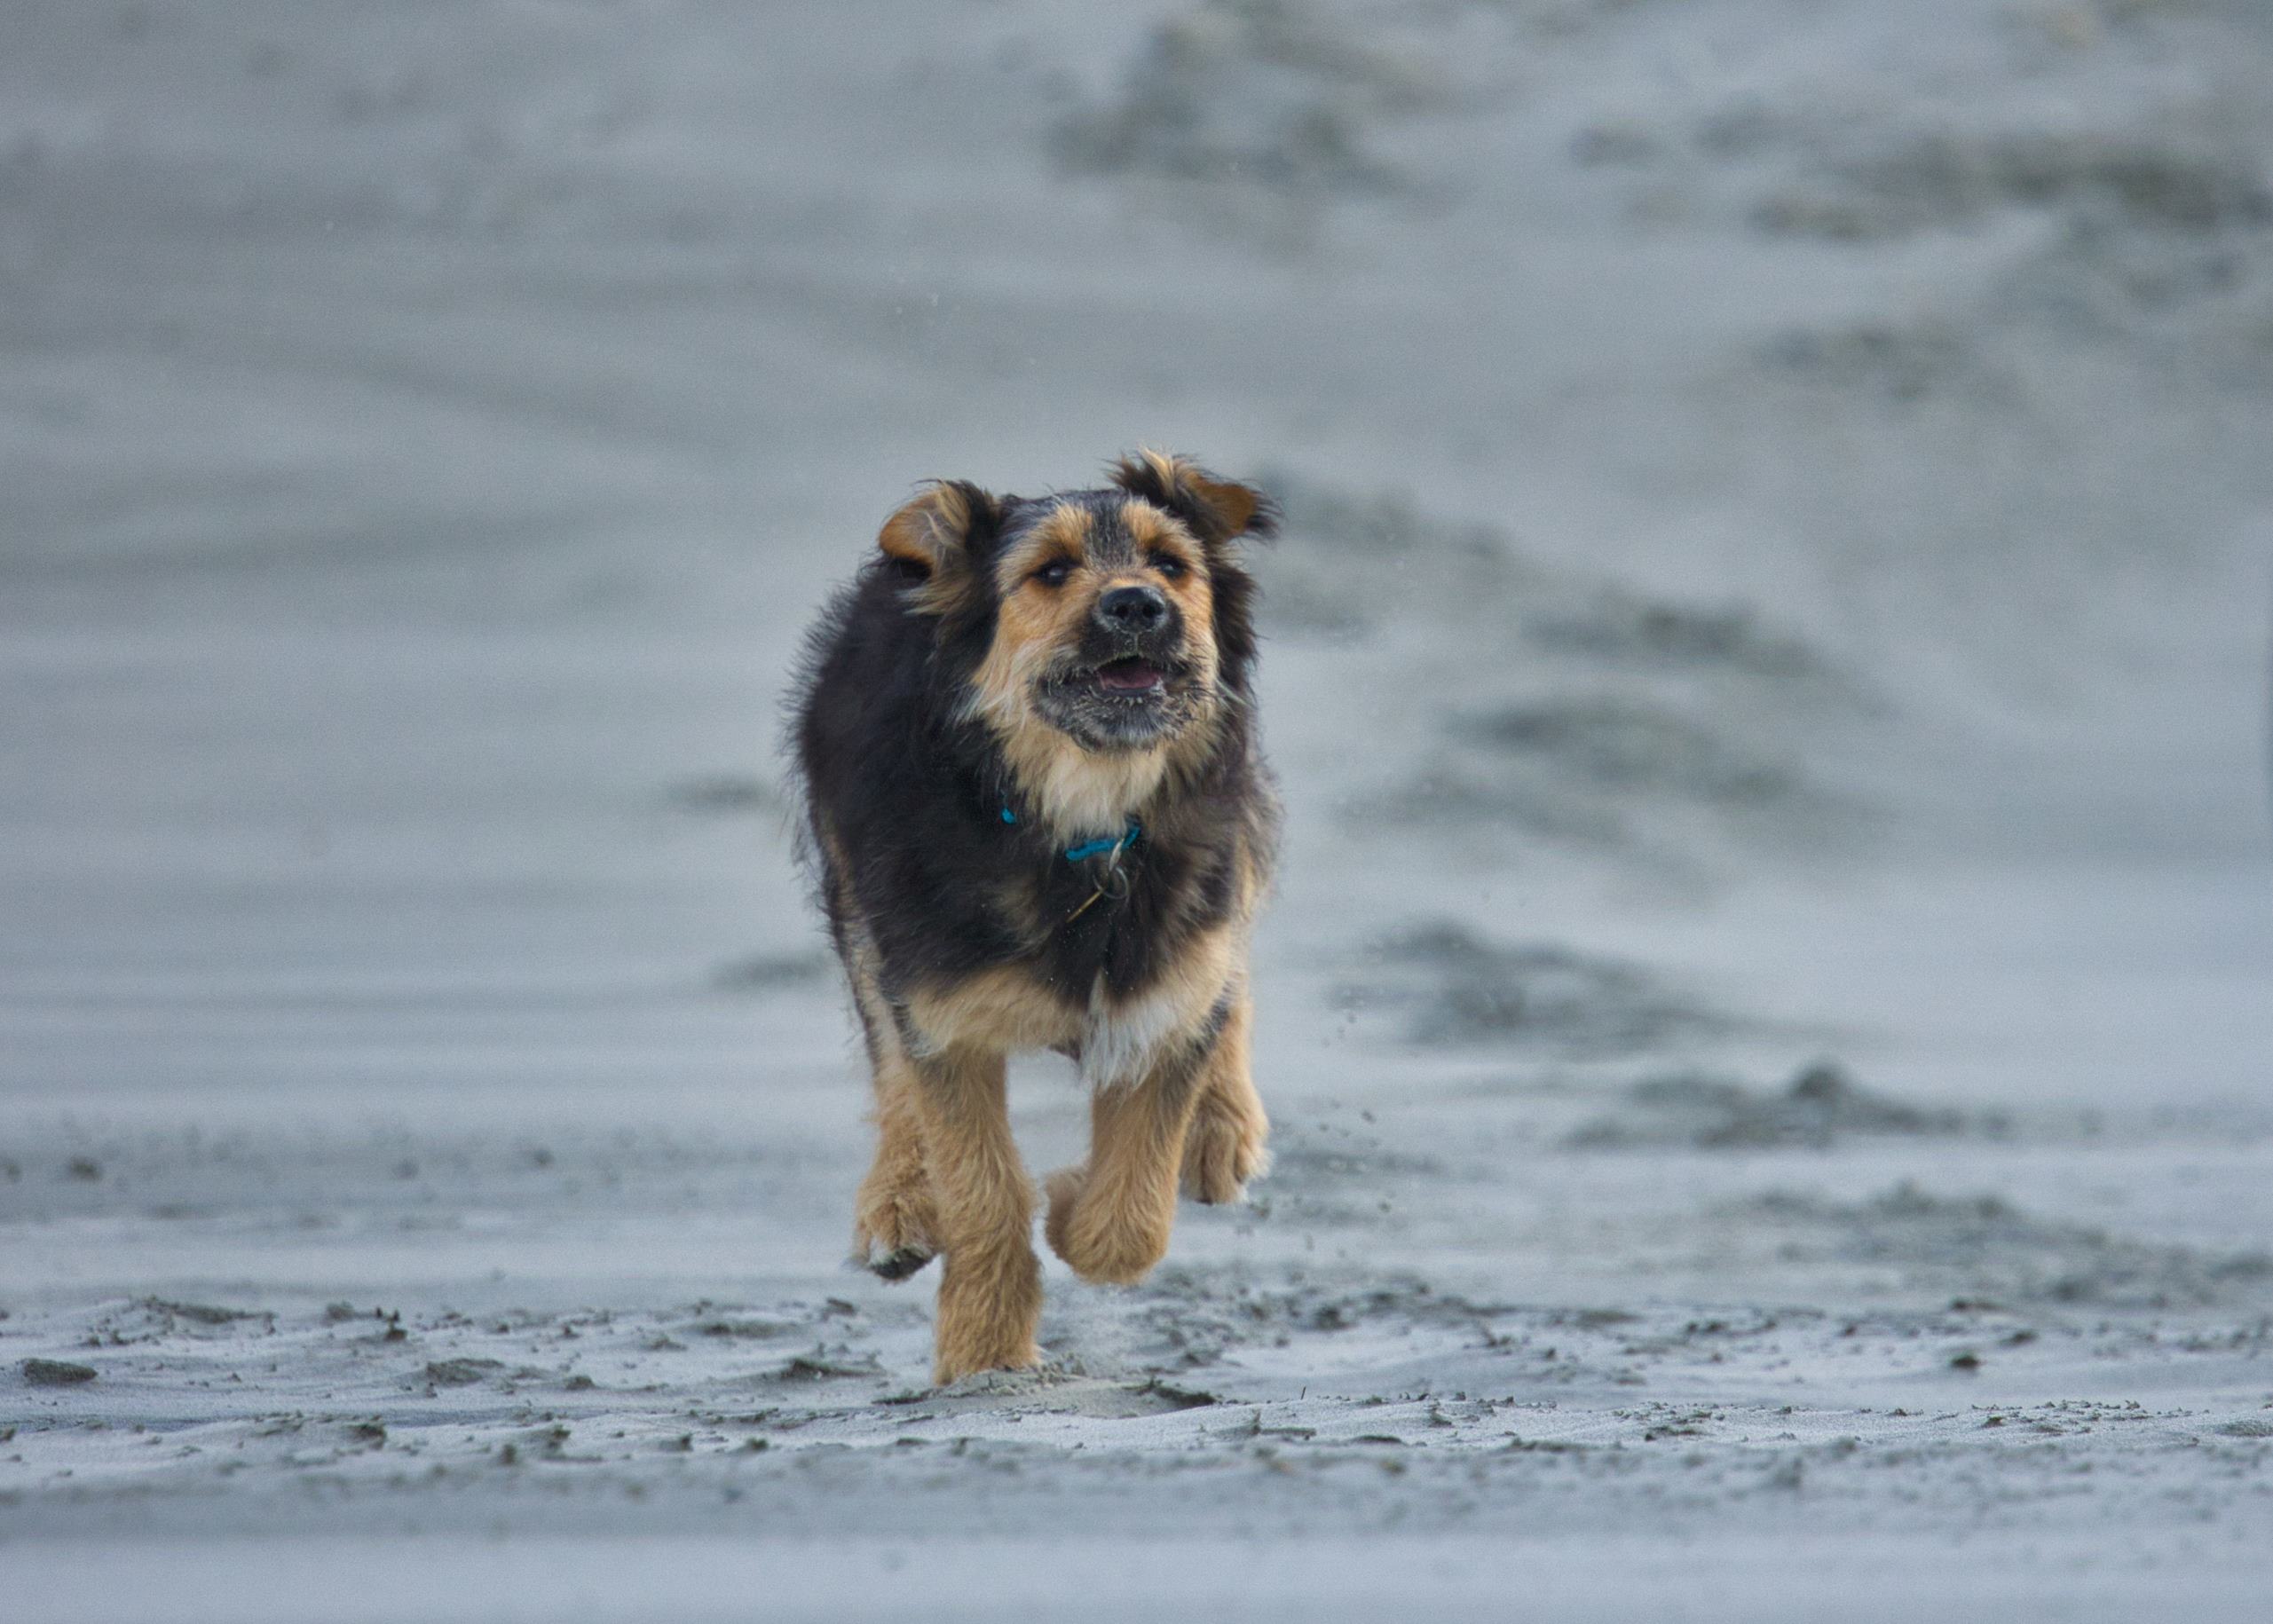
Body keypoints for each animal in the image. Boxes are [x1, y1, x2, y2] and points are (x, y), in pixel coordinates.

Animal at [792, 451, 1279, 1384]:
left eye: (1171, 563)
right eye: (1049, 572)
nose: (1137, 605)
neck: (1084, 820)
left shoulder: (1157, 994)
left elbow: (1133, 1218)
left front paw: (1070, 1206)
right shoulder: (940, 1008)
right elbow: (979, 1188)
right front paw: (983, 1355)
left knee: (1234, 970)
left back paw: (1223, 1129)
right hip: (861, 904)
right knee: (886, 1050)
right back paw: (897, 1205)